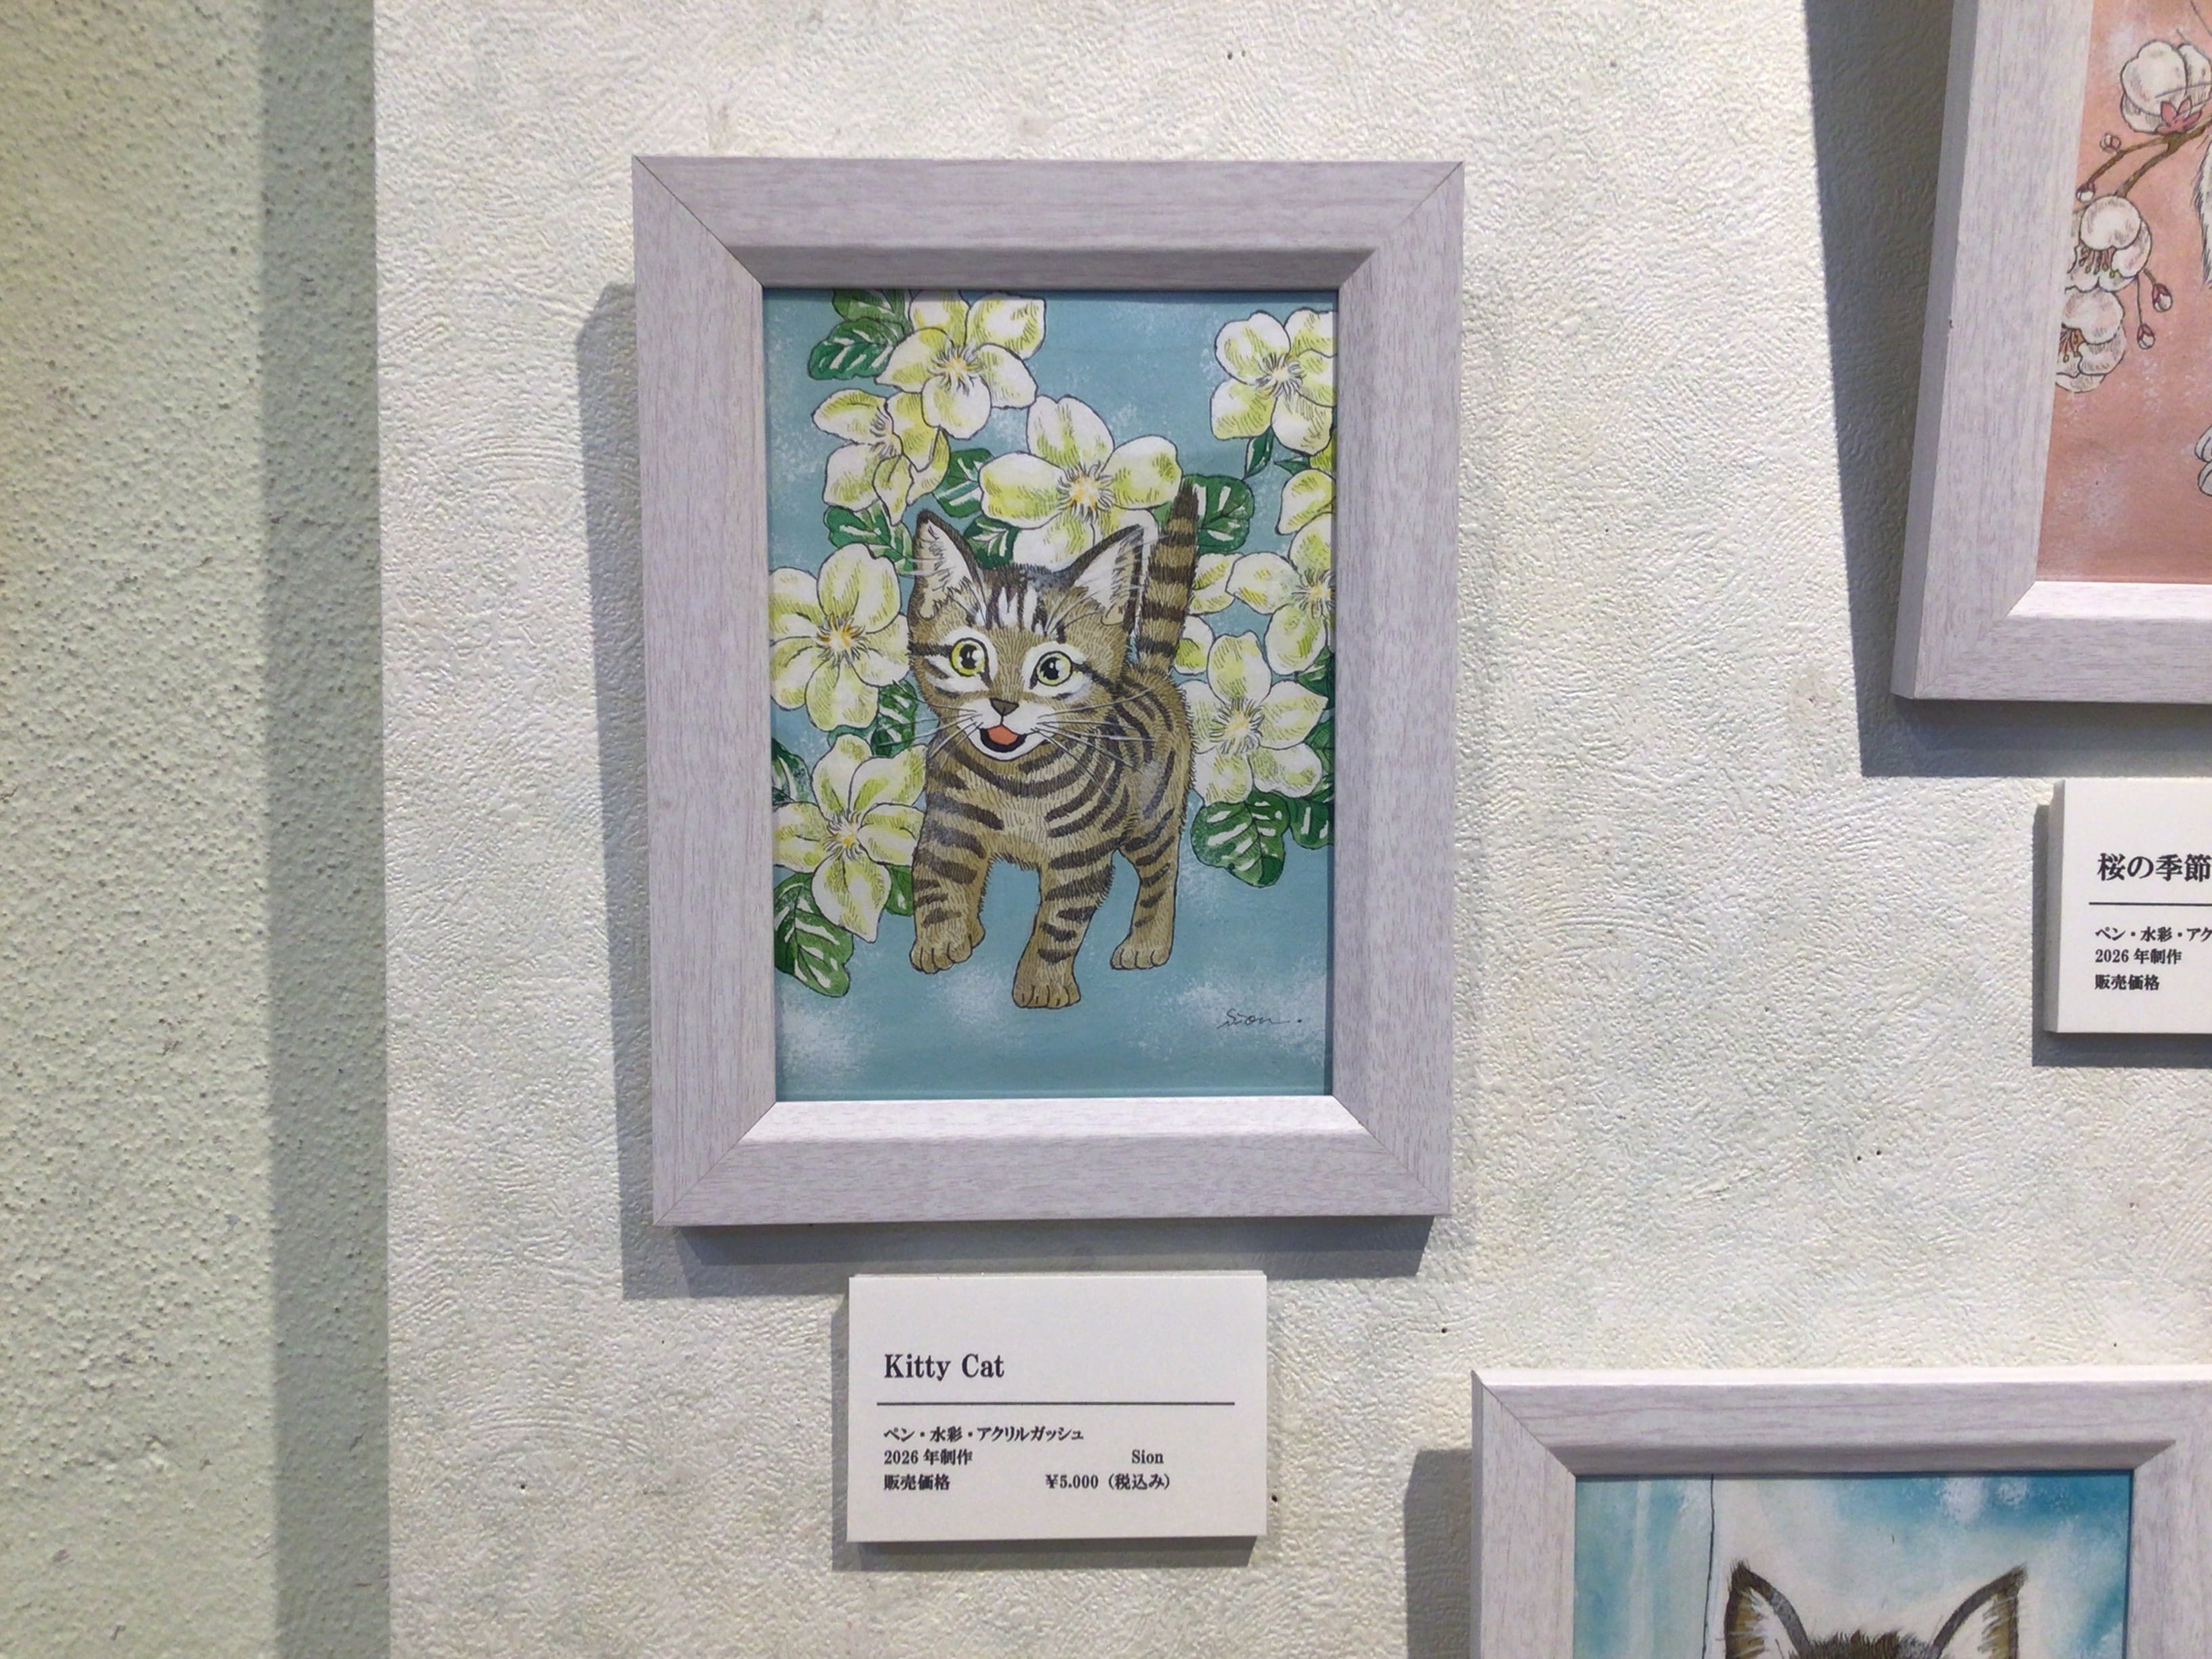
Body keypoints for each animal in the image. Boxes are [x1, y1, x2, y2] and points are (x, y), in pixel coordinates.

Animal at [903, 482, 1198, 1009]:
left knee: (1163, 873)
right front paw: (942, 938)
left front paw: (1042, 982)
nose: (1003, 704)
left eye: (1052, 669)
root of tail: (1150, 674)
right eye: (967, 657)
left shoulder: (1081, 857)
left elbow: (1058, 926)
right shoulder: (950, 822)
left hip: (1151, 818)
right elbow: (935, 881)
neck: (1014, 781)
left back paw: (1148, 942)